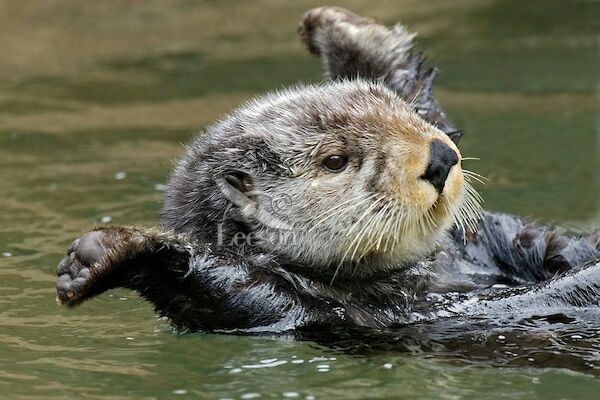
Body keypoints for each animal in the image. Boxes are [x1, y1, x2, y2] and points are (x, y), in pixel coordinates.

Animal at [54, 7, 596, 334]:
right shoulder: (313, 312)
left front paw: (339, 29)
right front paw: (108, 252)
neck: (422, 270)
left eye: (404, 114)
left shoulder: (481, 239)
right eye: (335, 161)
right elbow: (227, 291)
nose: (440, 158)